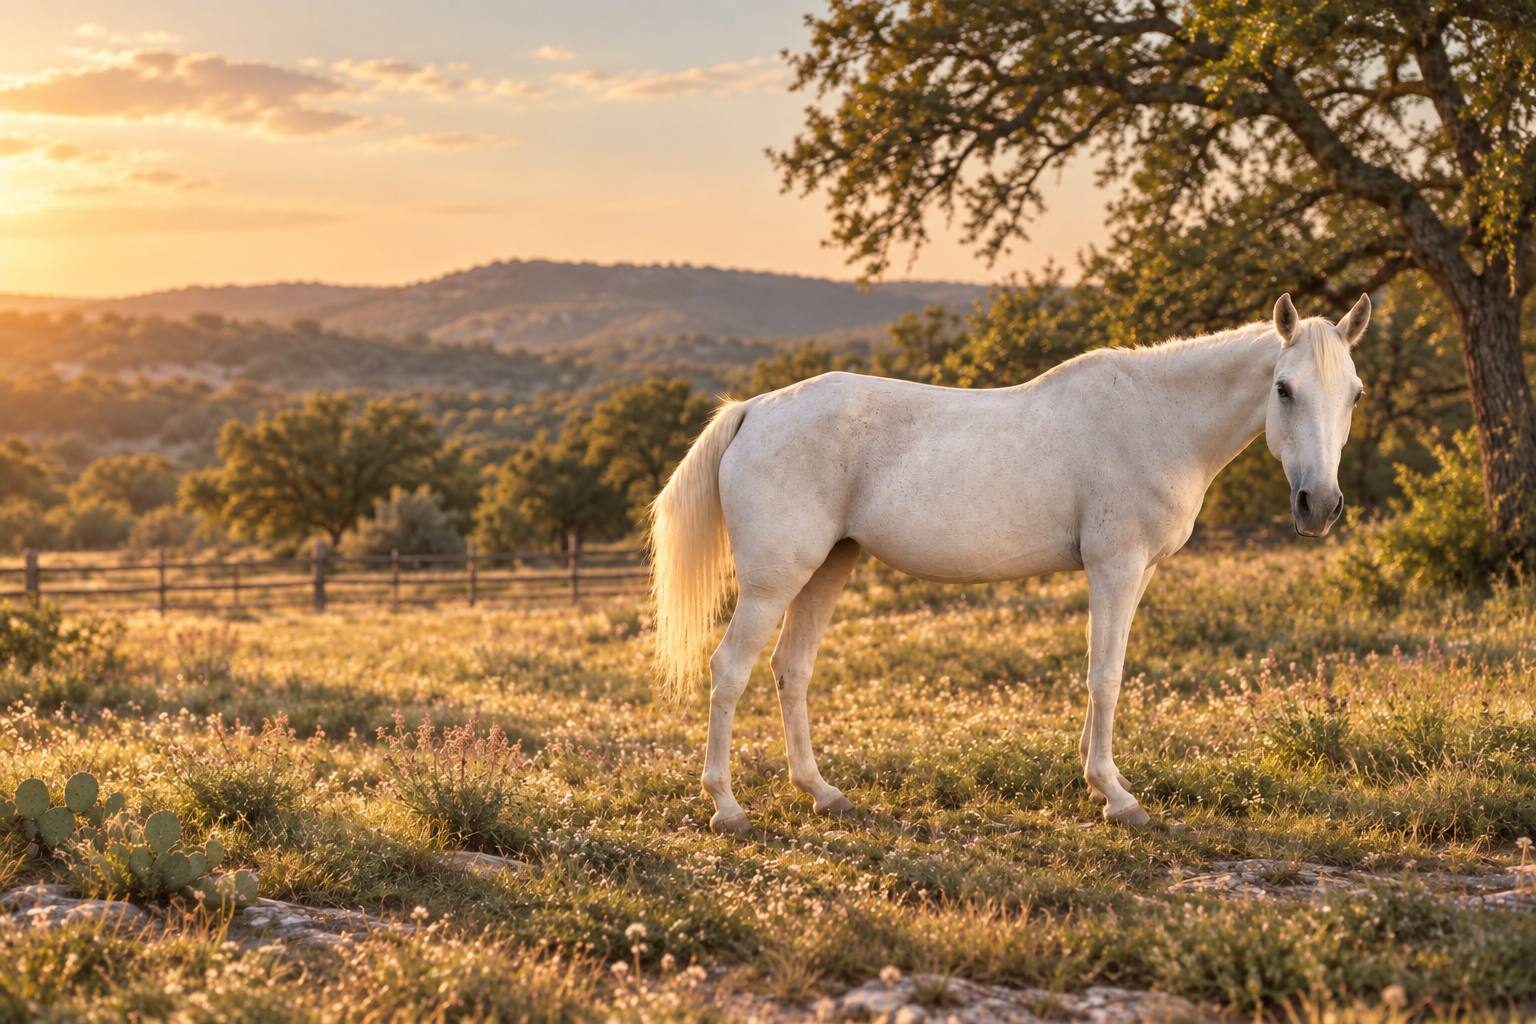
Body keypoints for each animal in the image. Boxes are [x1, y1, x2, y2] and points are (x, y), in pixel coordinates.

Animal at [649, 293, 1370, 831]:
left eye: (1355, 394)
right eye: (1284, 389)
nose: (1319, 505)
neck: (1157, 418)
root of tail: (753, 411)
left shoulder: (1137, 573)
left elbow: (1105, 671)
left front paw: (1099, 782)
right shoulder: (1115, 567)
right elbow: (1105, 676)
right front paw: (1117, 797)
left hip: (829, 567)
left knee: (790, 669)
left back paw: (823, 793)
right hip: (773, 583)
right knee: (730, 669)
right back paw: (727, 808)